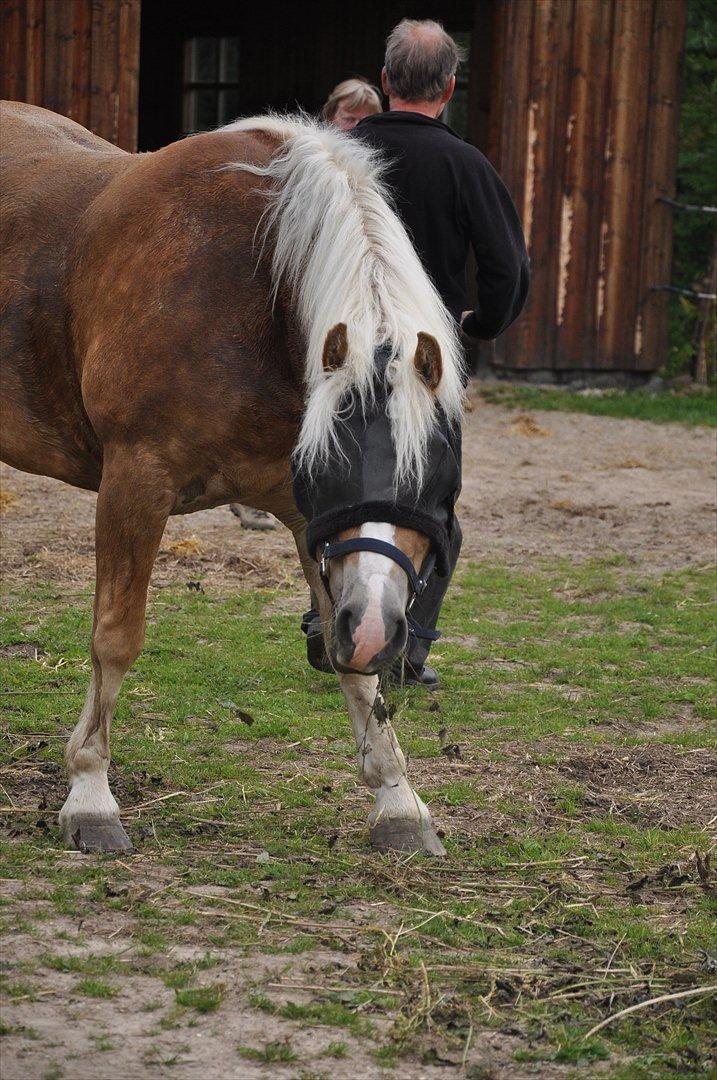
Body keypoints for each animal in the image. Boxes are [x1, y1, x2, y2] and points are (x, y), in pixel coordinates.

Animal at [1, 103, 464, 859]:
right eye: (337, 465)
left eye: (437, 482)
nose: (377, 627)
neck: (253, 289)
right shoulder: (135, 480)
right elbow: (115, 636)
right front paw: (91, 793)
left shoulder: (308, 522)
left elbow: (350, 667)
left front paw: (398, 801)